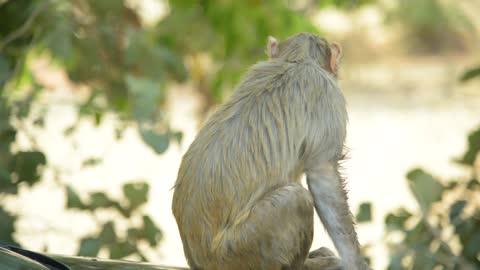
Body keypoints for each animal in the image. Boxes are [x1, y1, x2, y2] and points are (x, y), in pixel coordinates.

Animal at [172, 32, 368, 270]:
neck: (296, 59)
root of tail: (199, 259)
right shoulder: (329, 96)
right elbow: (323, 176)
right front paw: (354, 261)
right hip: (241, 248)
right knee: (297, 199)